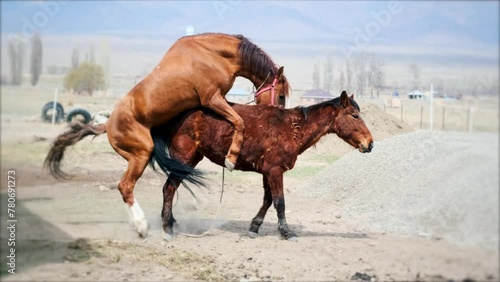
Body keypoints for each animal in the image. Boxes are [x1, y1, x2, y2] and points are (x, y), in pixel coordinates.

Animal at [46, 32, 292, 236]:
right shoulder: (212, 99)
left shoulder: (218, 100)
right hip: (141, 154)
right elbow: (239, 121)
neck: (213, 54)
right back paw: (142, 226)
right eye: (281, 95)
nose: (279, 116)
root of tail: (107, 125)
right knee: (126, 186)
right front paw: (231, 159)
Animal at [150, 90, 374, 240]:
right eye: (354, 115)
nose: (370, 144)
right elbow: (280, 202)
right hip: (183, 159)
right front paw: (286, 232)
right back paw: (168, 229)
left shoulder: (268, 172)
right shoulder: (275, 171)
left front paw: (254, 228)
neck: (292, 128)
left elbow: (268, 200)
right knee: (168, 189)